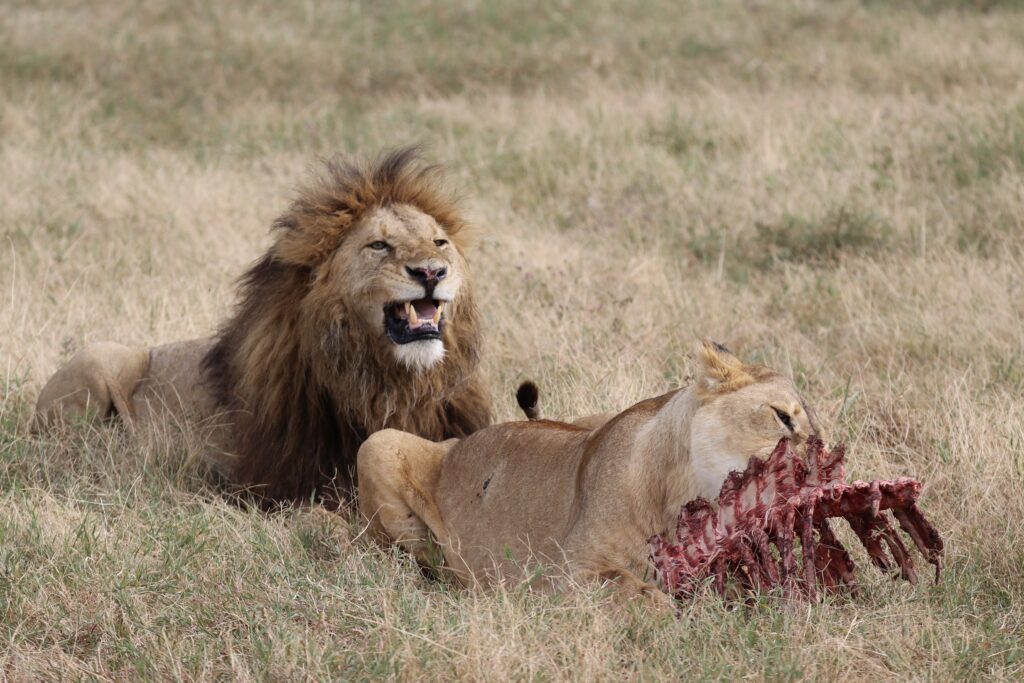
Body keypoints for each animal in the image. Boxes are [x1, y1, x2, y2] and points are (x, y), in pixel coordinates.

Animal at [36, 147, 491, 499]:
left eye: (440, 242)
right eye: (379, 245)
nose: (432, 272)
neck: (393, 382)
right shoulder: (283, 484)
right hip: (99, 357)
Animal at [356, 342, 819, 602]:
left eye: (820, 435)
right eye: (782, 417)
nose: (814, 467)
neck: (681, 500)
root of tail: (458, 443)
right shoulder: (558, 576)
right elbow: (632, 591)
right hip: (376, 445)